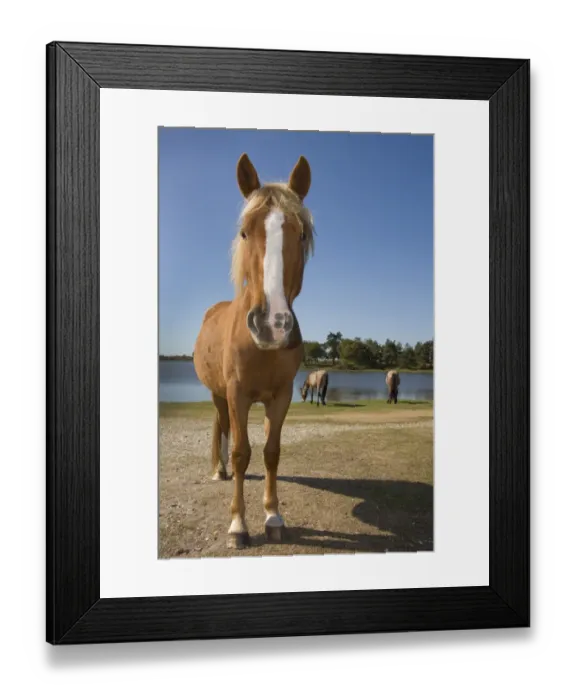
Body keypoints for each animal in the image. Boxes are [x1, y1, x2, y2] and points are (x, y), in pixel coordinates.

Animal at [193, 152, 315, 550]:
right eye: (245, 231)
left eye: (302, 233)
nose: (272, 324)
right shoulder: (237, 394)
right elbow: (241, 452)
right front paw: (238, 525)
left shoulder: (281, 396)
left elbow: (271, 453)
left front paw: (273, 517)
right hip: (218, 394)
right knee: (222, 429)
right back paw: (220, 471)